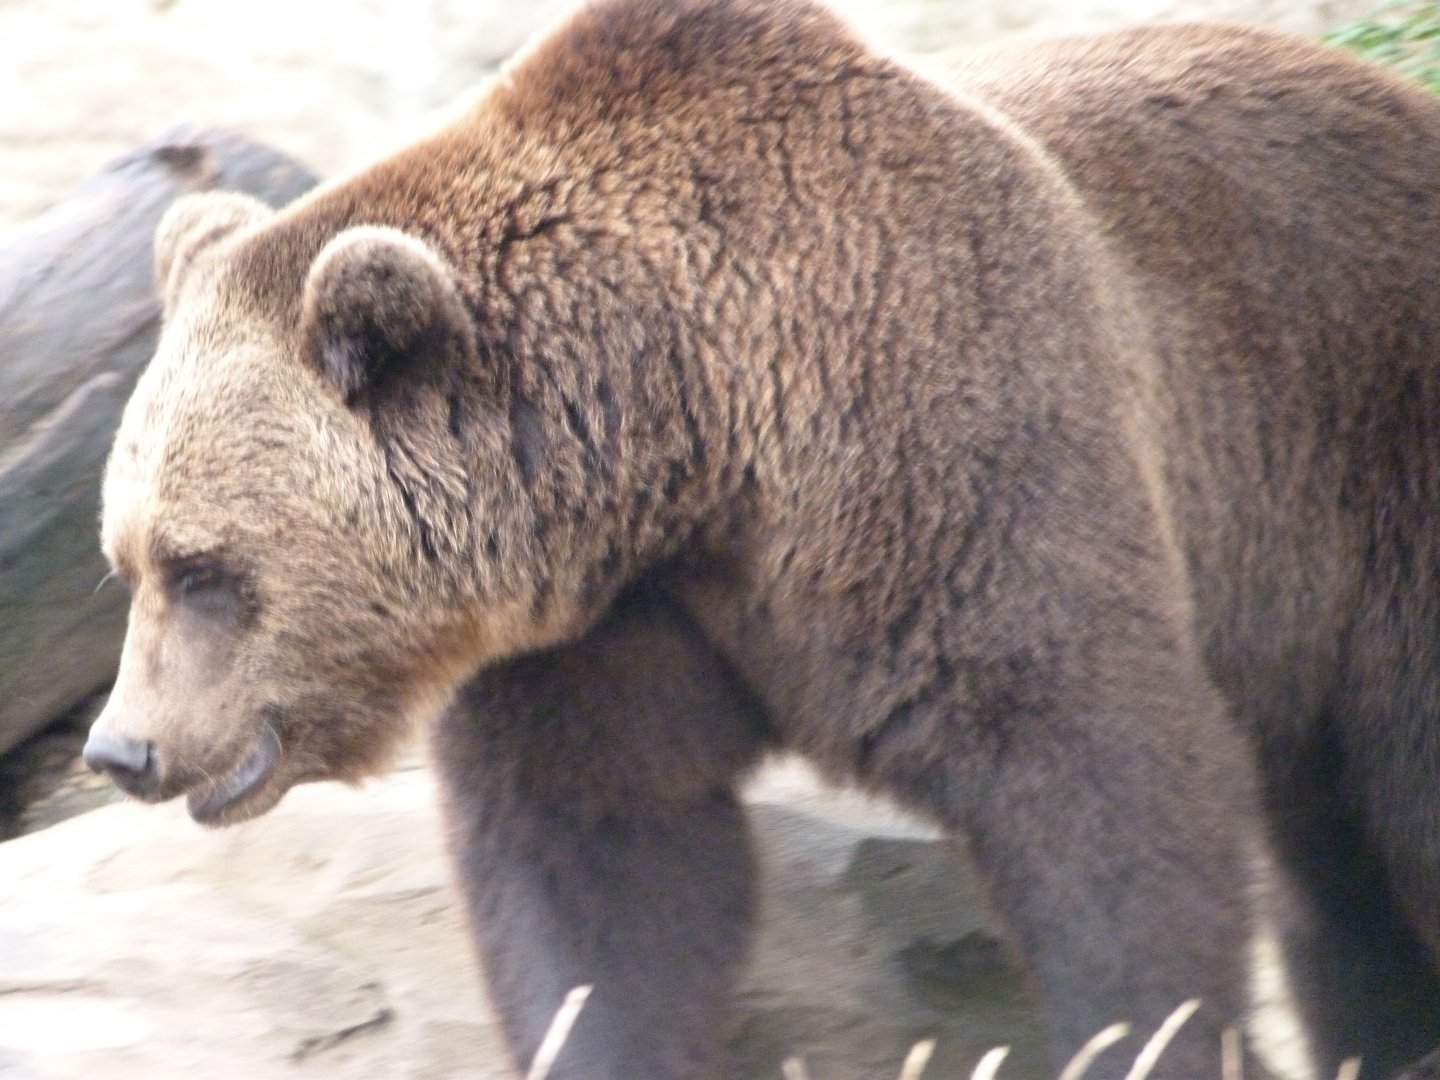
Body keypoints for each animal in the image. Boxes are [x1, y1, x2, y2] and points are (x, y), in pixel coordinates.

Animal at [78, 0, 1440, 1077]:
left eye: (206, 569)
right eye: (125, 562)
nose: (123, 750)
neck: (693, 439)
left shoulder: (964, 458)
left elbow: (1104, 781)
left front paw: (1145, 1037)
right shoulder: (599, 632)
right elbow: (597, 868)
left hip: (1367, 458)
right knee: (1337, 871)